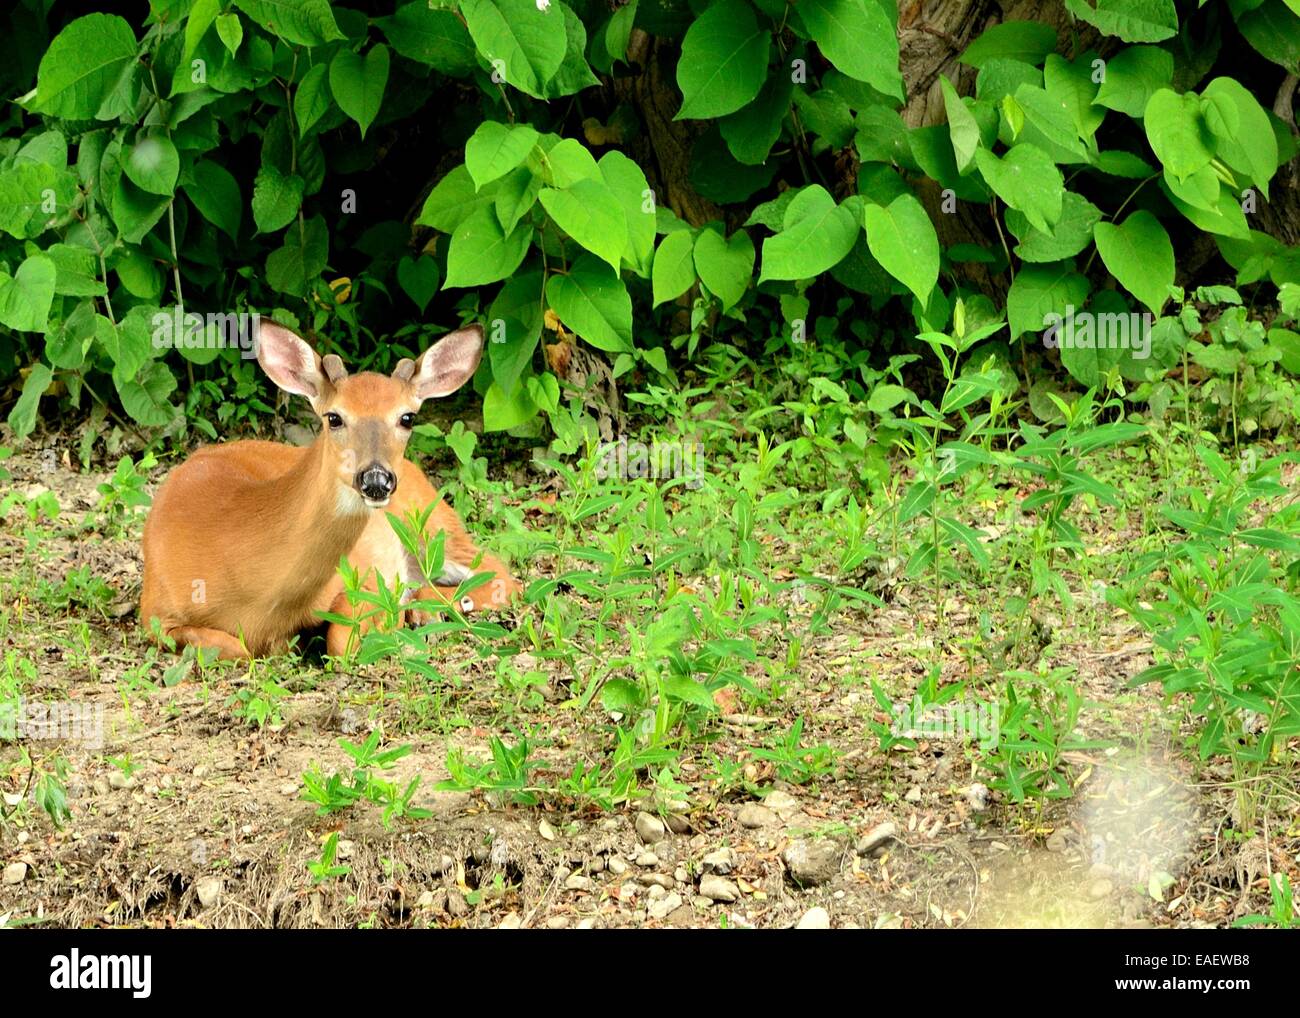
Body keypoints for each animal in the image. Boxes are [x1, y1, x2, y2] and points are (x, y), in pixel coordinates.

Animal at [139, 322, 520, 665]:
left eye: (407, 417)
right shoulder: (154, 612)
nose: (376, 480)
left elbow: (339, 640)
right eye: (334, 417)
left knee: (500, 574)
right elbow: (232, 647)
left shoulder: (362, 576)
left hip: (430, 521)